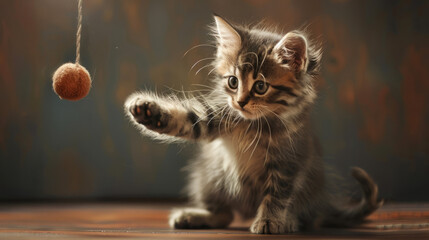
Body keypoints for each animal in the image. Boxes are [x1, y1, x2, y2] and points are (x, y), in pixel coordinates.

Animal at [123, 15, 382, 234]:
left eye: (260, 86)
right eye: (233, 82)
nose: (240, 102)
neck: (253, 125)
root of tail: (323, 202)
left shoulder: (289, 161)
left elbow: (277, 195)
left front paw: (270, 220)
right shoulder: (212, 118)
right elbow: (186, 119)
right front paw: (146, 111)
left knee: (306, 217)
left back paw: (290, 220)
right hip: (208, 176)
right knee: (225, 214)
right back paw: (195, 216)